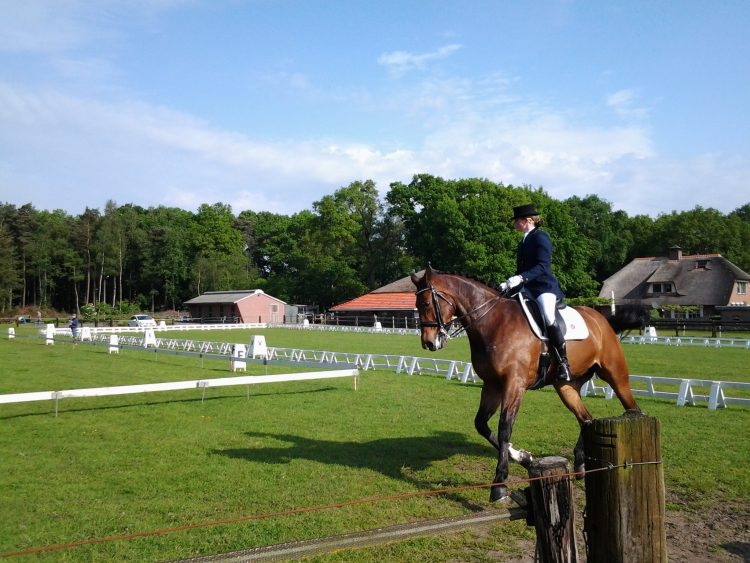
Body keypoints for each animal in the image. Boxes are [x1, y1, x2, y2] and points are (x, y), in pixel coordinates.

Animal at [414, 266, 644, 504]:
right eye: (417, 305)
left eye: (427, 303)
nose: (429, 342)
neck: (493, 323)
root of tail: (601, 319)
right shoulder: (492, 385)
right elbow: (482, 425)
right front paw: (525, 458)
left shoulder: (514, 384)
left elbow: (505, 427)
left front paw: (499, 485)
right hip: (567, 386)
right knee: (586, 419)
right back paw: (580, 464)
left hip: (615, 375)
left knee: (632, 409)